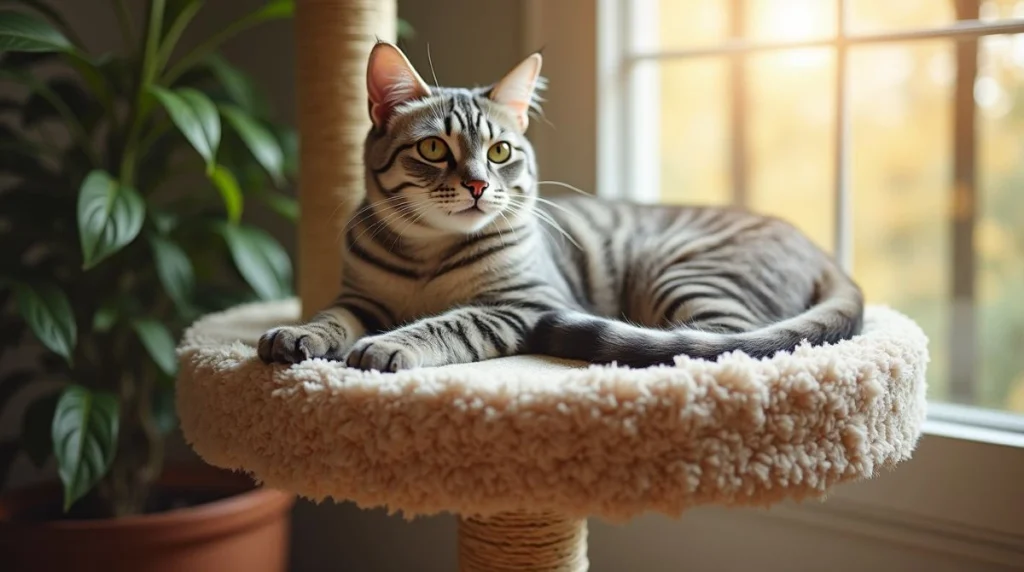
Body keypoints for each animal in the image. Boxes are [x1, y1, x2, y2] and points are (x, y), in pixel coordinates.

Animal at [251, 41, 860, 372]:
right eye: (433, 149)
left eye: (499, 151)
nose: (478, 186)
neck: (428, 251)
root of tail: (822, 251)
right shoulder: (360, 298)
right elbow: (330, 317)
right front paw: (298, 334)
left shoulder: (523, 303)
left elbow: (447, 324)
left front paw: (390, 344)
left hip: (689, 275)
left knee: (709, 347)